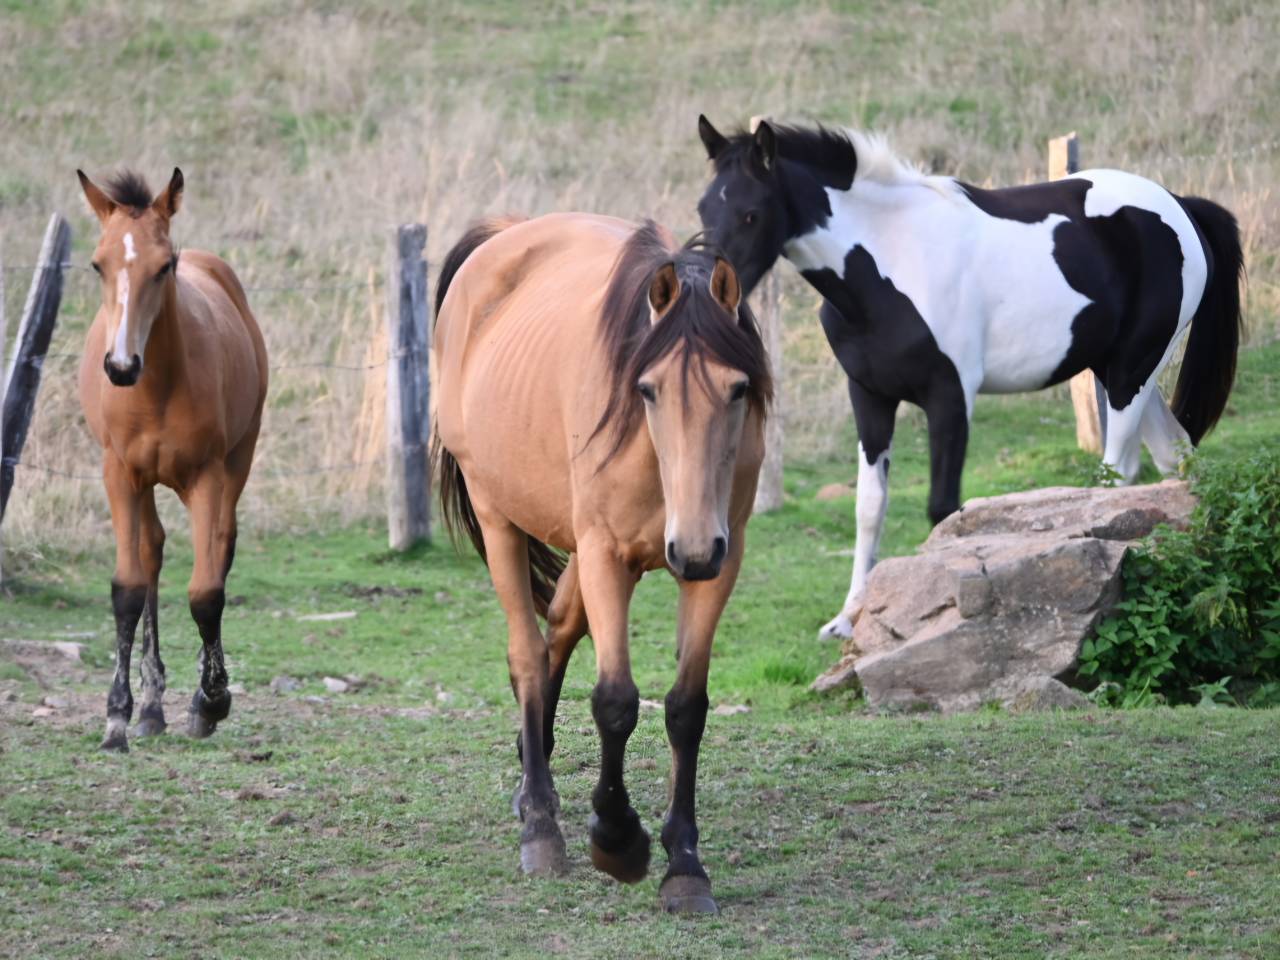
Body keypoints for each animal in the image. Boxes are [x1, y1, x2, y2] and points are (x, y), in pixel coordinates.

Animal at [76, 168, 268, 751]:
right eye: (98, 263)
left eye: (165, 266)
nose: (119, 366)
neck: (155, 389)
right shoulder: (119, 474)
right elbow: (128, 587)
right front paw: (117, 718)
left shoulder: (207, 475)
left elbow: (206, 592)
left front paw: (211, 702)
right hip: (143, 483)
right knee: (153, 550)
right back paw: (151, 706)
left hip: (239, 459)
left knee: (221, 546)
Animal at [432, 213, 771, 913]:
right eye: (647, 388)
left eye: (738, 388)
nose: (691, 547)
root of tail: (504, 234)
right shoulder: (605, 553)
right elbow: (615, 700)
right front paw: (617, 840)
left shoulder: (720, 561)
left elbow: (686, 709)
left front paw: (684, 866)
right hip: (501, 518)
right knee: (527, 654)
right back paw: (540, 823)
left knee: (558, 629)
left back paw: (533, 769)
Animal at [695, 116, 1244, 640]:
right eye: (704, 209)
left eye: (751, 213)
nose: (712, 291)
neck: (890, 260)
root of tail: (1180, 206)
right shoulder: (869, 396)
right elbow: (869, 508)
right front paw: (847, 619)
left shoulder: (950, 396)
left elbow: (944, 509)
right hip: (1120, 372)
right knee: (1176, 457)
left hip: (1133, 370)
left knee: (1118, 472)